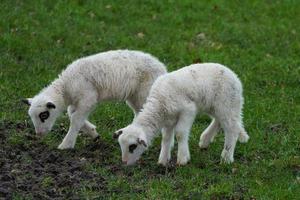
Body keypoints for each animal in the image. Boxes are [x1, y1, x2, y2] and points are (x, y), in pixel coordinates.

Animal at [22, 49, 169, 149]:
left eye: (44, 115)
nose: (39, 134)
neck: (65, 88)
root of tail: (163, 70)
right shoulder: (77, 102)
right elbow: (72, 115)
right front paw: (93, 133)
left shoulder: (88, 98)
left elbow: (75, 119)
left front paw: (66, 145)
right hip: (134, 96)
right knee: (140, 113)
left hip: (146, 94)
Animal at [113, 63, 250, 166]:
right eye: (120, 145)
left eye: (133, 146)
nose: (124, 162)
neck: (159, 105)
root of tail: (235, 77)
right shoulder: (169, 119)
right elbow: (166, 138)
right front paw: (163, 160)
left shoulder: (188, 110)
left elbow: (180, 134)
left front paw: (183, 159)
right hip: (213, 105)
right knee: (218, 120)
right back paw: (205, 140)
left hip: (227, 103)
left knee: (232, 129)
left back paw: (226, 158)